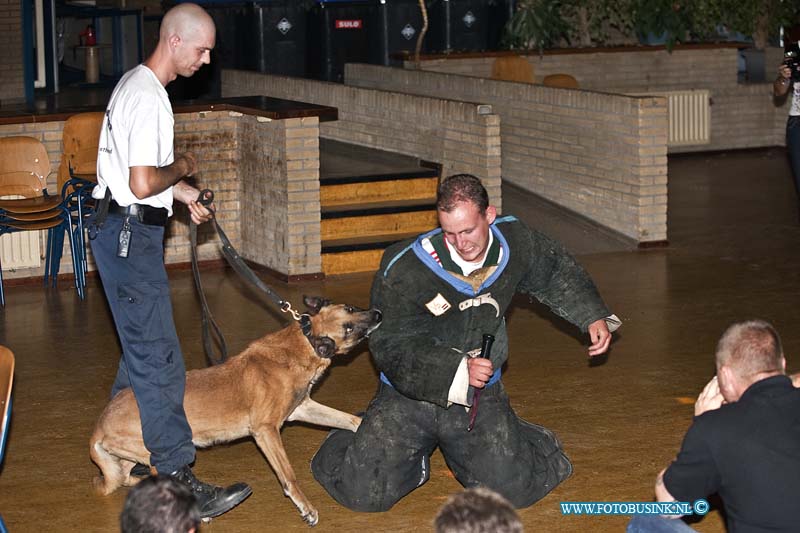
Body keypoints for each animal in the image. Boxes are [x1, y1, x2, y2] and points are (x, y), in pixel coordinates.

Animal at [89, 296, 382, 524]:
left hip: (134, 454)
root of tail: (99, 424)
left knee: (123, 477)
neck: (305, 342)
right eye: (349, 328)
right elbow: (289, 476)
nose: (379, 314)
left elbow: (348, 419)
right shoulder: (266, 431)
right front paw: (306, 507)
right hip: (151, 452)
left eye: (352, 307)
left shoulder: (303, 409)